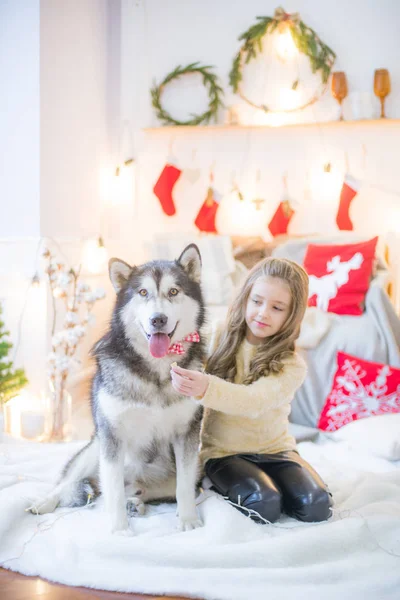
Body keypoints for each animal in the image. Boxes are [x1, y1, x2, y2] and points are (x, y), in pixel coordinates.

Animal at [32, 244, 206, 536]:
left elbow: (184, 486)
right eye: (143, 292)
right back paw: (46, 501)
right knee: (74, 483)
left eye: (173, 291)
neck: (155, 372)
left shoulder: (188, 434)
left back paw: (135, 502)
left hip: (196, 467)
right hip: (95, 447)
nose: (158, 319)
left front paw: (188, 520)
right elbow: (112, 489)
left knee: (139, 490)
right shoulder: (112, 434)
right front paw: (119, 531)